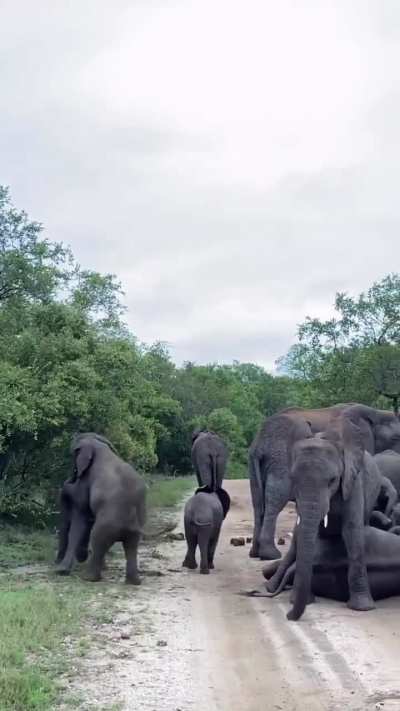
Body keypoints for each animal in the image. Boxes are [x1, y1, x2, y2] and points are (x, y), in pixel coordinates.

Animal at [55, 433, 147, 584]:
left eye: (73, 453)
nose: (71, 479)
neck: (100, 447)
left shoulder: (86, 481)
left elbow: (81, 517)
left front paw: (61, 571)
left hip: (108, 524)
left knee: (98, 539)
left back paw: (88, 578)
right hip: (135, 527)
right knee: (131, 546)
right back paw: (133, 581)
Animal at [249, 404, 400, 560]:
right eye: (396, 437)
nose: (389, 521)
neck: (376, 413)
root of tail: (260, 443)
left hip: (255, 463)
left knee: (258, 502)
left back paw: (255, 553)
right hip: (281, 456)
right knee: (276, 498)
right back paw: (270, 554)